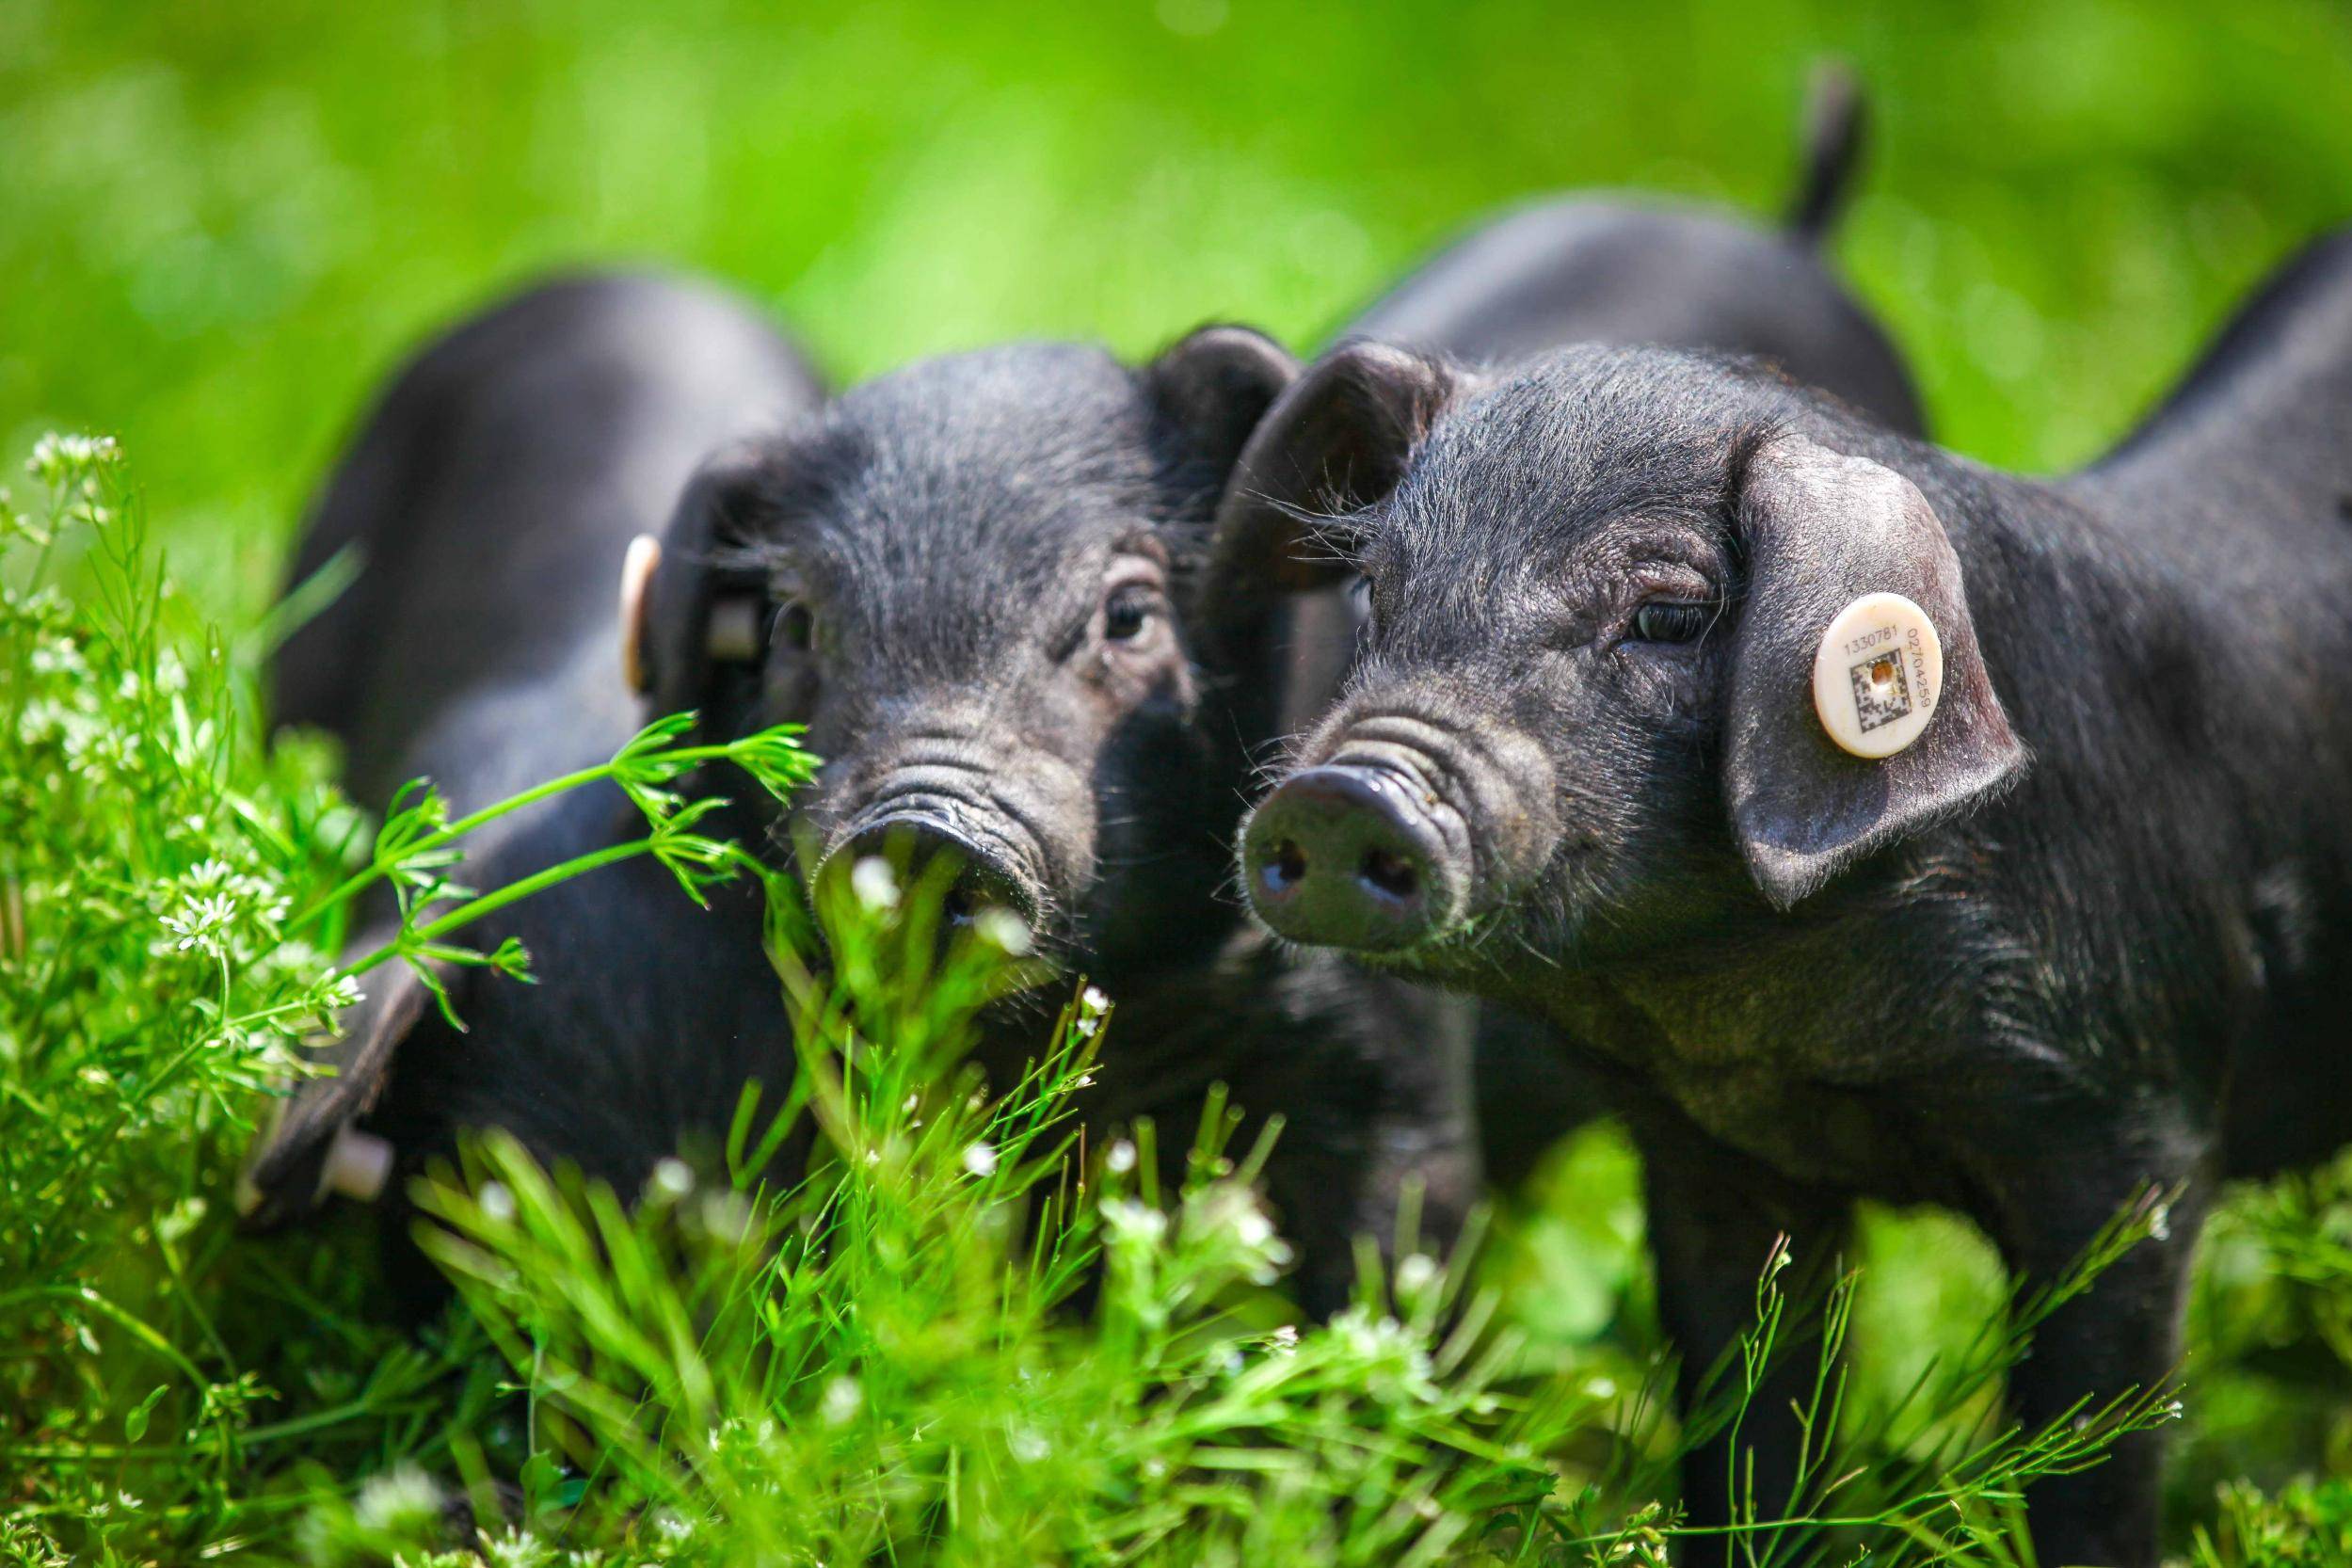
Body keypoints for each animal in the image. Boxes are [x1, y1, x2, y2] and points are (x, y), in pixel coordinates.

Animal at [1223, 227, 2352, 1560]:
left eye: (1667, 613)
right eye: (1378, 591)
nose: (1344, 791)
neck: (1791, 1037)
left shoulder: (2137, 1120)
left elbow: (2097, 1447)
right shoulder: (1714, 1155)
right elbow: (1750, 1412)